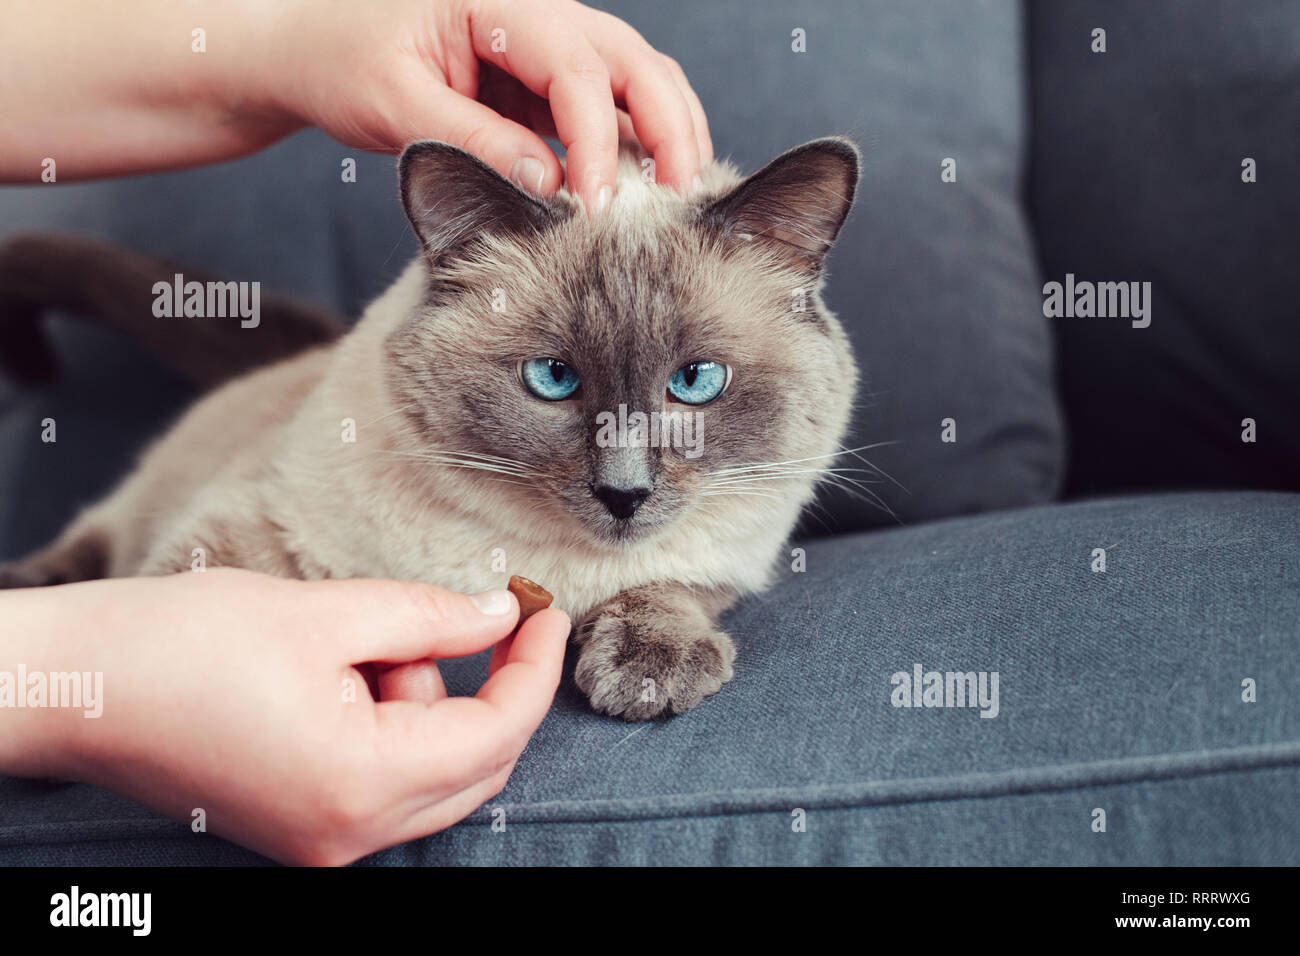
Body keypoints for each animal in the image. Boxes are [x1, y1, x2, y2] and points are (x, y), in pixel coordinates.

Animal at [0, 138, 863, 723]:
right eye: (553, 379)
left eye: (695, 382)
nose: (624, 494)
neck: (545, 565)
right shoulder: (246, 536)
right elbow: (181, 609)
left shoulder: (726, 559)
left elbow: (668, 586)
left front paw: (651, 671)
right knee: (86, 558)